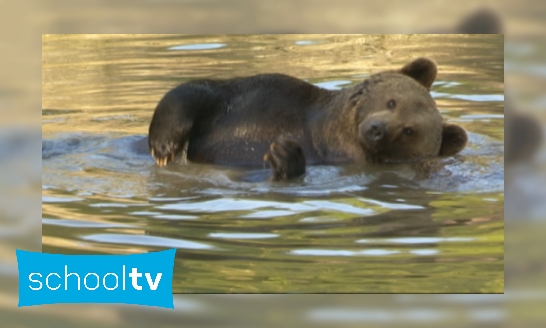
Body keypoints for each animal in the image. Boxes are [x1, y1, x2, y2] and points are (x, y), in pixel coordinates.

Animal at [149, 56, 468, 179]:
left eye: (409, 130)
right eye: (392, 101)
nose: (377, 129)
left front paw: (284, 155)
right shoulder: (258, 96)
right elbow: (197, 91)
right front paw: (164, 147)